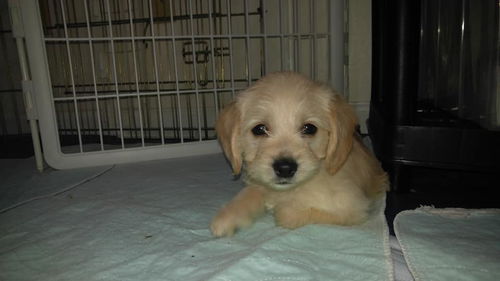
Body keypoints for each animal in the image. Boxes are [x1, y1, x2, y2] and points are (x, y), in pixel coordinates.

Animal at [209, 70, 388, 236]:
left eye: (309, 128)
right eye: (259, 129)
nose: (285, 168)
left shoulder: (353, 208)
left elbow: (287, 213)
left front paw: (281, 208)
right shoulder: (259, 183)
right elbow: (248, 193)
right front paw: (228, 216)